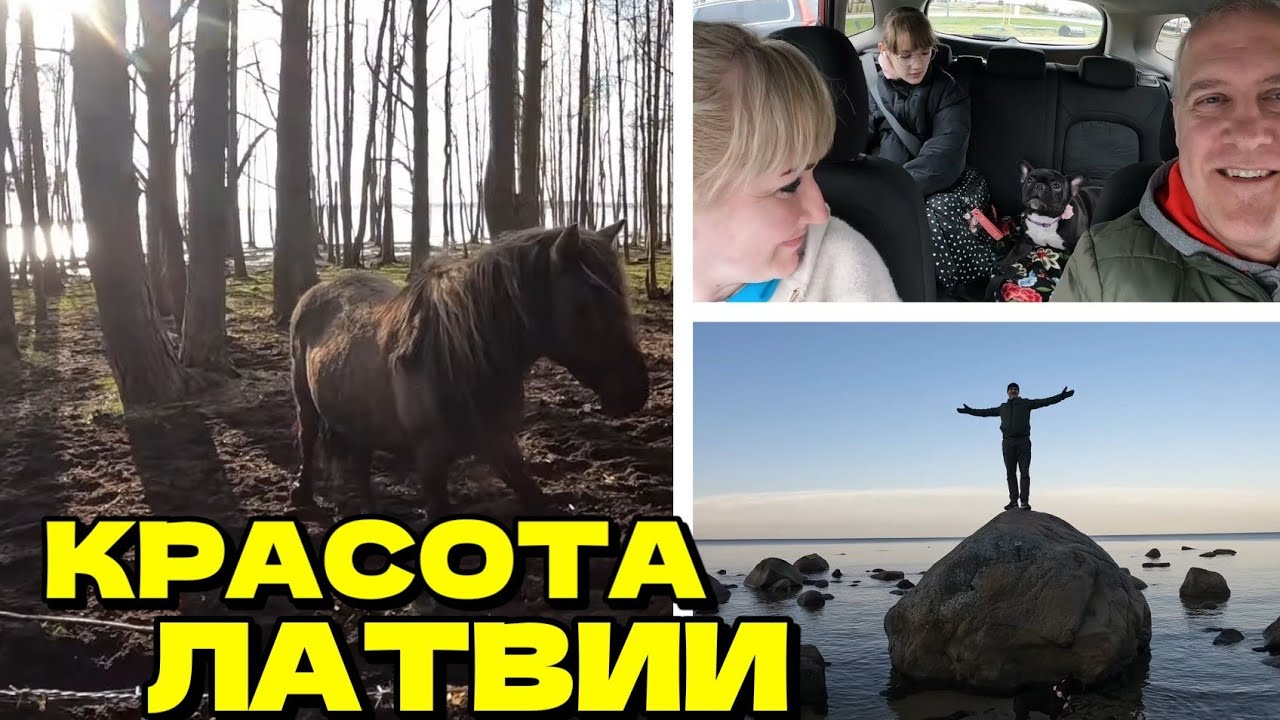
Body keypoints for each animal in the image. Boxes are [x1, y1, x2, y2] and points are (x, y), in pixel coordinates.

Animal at [287, 219, 649, 517]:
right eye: (583, 307)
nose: (636, 392)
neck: (459, 358)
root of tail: (315, 290)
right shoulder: (431, 460)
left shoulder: (499, 440)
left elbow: (532, 494)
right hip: (305, 401)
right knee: (307, 439)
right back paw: (301, 494)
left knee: (360, 464)